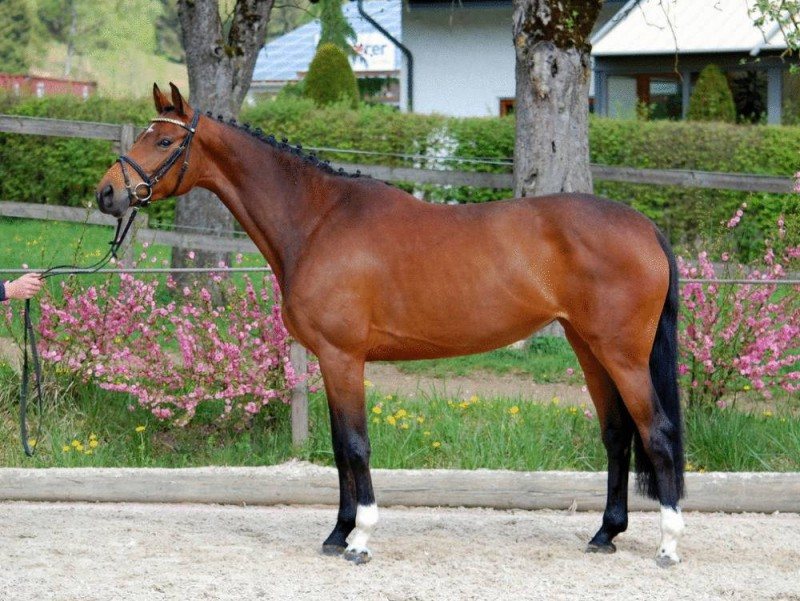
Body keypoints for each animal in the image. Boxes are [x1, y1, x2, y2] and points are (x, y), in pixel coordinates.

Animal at [96, 83, 686, 567]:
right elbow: (339, 447)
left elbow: (356, 445)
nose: (106, 194)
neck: (318, 220)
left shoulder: (342, 357)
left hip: (622, 354)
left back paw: (668, 545)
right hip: (588, 347)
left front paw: (360, 538)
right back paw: (605, 534)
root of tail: (645, 226)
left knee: (656, 432)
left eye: (164, 142)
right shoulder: (330, 361)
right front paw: (338, 533)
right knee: (617, 435)